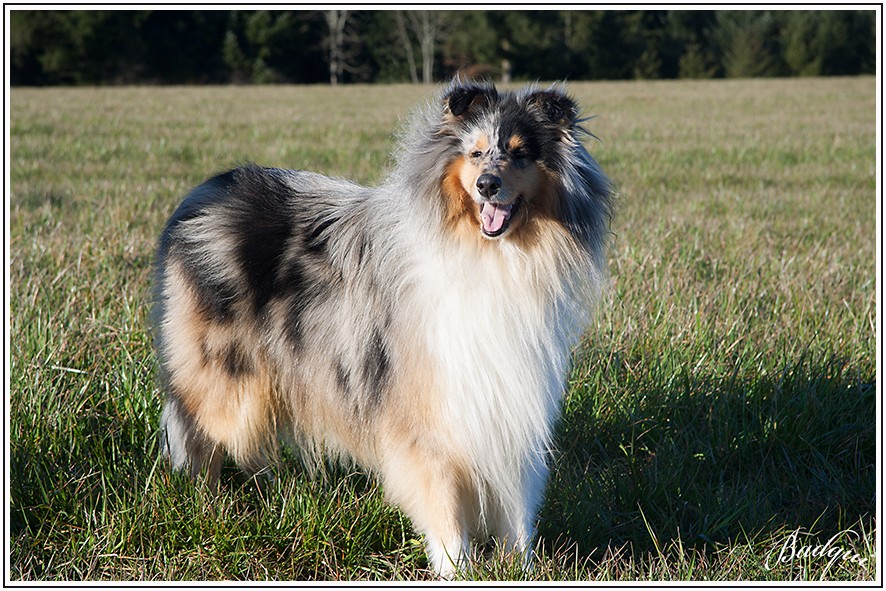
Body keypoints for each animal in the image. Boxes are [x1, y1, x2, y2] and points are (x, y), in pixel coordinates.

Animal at [153, 80, 612, 580]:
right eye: (474, 153)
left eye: (521, 153)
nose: (487, 185)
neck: (490, 255)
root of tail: (198, 197)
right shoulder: (430, 415)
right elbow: (442, 500)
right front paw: (456, 570)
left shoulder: (510, 405)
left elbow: (516, 506)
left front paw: (523, 569)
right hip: (226, 381)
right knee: (198, 435)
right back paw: (204, 507)